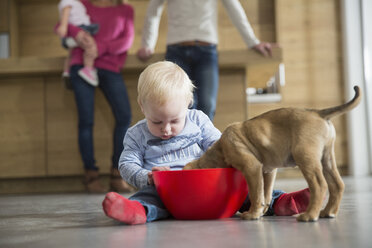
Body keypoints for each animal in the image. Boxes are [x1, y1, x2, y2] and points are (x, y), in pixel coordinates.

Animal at [185, 86, 362, 222]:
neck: (221, 148)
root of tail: (318, 113)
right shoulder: (268, 171)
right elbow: (266, 193)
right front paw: (262, 211)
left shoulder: (252, 167)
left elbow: (256, 193)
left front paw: (252, 214)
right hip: (326, 158)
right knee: (337, 184)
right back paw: (328, 212)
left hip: (305, 156)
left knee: (319, 185)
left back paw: (309, 215)